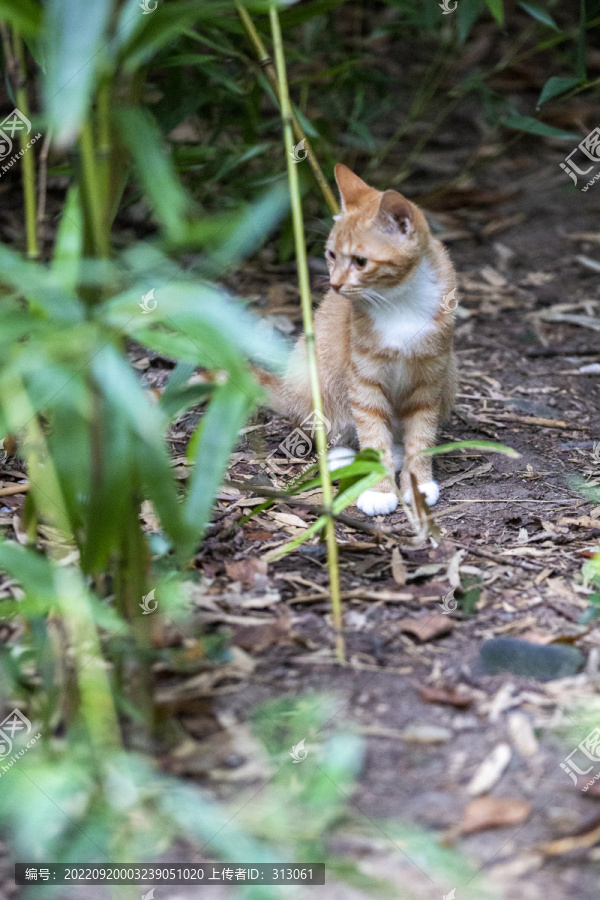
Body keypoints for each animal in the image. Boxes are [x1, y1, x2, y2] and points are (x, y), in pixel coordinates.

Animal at [274, 165, 458, 516]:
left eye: (360, 261)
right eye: (331, 255)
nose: (334, 284)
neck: (399, 302)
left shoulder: (430, 380)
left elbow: (421, 435)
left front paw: (418, 483)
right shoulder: (363, 379)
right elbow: (372, 433)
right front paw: (378, 489)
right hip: (312, 374)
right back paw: (344, 457)